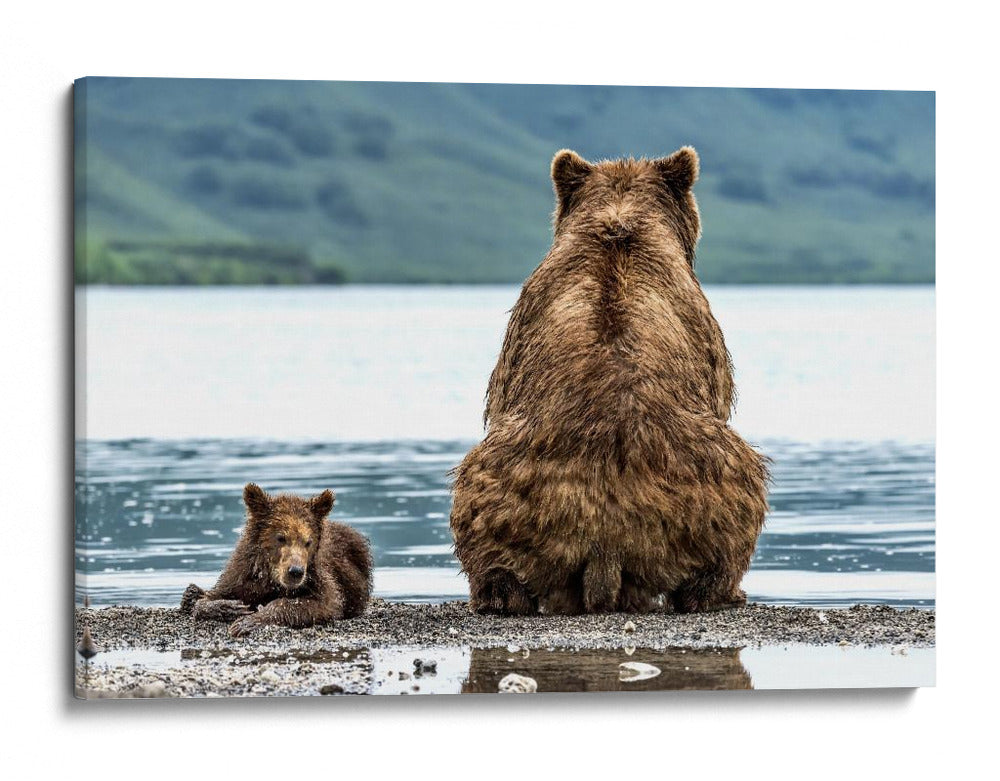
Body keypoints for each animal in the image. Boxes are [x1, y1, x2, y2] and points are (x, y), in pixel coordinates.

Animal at [180, 483, 373, 636]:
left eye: (308, 541)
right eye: (281, 537)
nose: (295, 571)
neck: (272, 578)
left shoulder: (319, 578)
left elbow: (322, 604)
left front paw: (247, 622)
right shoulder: (242, 574)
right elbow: (208, 600)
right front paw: (230, 607)